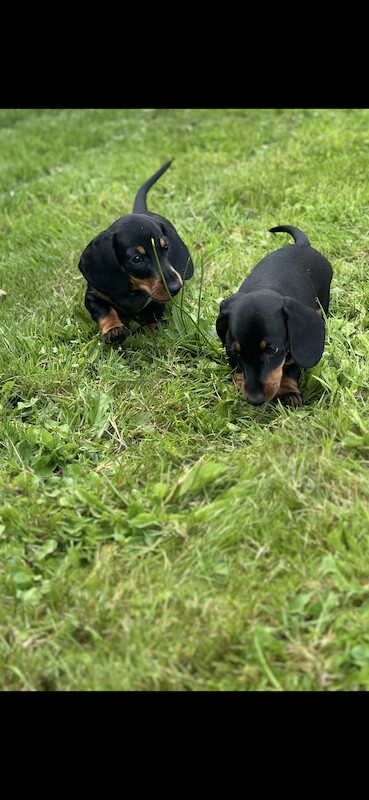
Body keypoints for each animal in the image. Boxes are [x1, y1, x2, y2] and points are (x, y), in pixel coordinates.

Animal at [77, 159, 193, 344]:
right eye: (136, 259)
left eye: (166, 248)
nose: (175, 288)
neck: (132, 291)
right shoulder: (93, 296)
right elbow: (105, 311)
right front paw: (114, 329)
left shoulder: (156, 301)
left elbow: (152, 314)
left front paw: (155, 333)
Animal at [216, 228, 334, 410]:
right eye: (236, 352)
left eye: (271, 350)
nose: (254, 400)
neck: (267, 288)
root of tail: (302, 245)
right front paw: (239, 380)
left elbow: (291, 367)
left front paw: (288, 391)